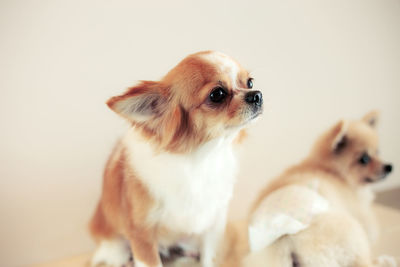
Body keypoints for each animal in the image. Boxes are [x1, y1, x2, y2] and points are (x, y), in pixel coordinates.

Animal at [88, 50, 262, 267]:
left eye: (250, 82)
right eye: (217, 94)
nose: (257, 95)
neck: (200, 159)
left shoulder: (213, 225)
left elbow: (210, 259)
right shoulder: (141, 233)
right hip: (116, 246)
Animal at [242, 111, 396, 267]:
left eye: (378, 152)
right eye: (364, 159)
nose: (389, 167)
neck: (331, 170)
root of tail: (286, 242)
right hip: (353, 232)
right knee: (364, 262)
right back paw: (385, 261)